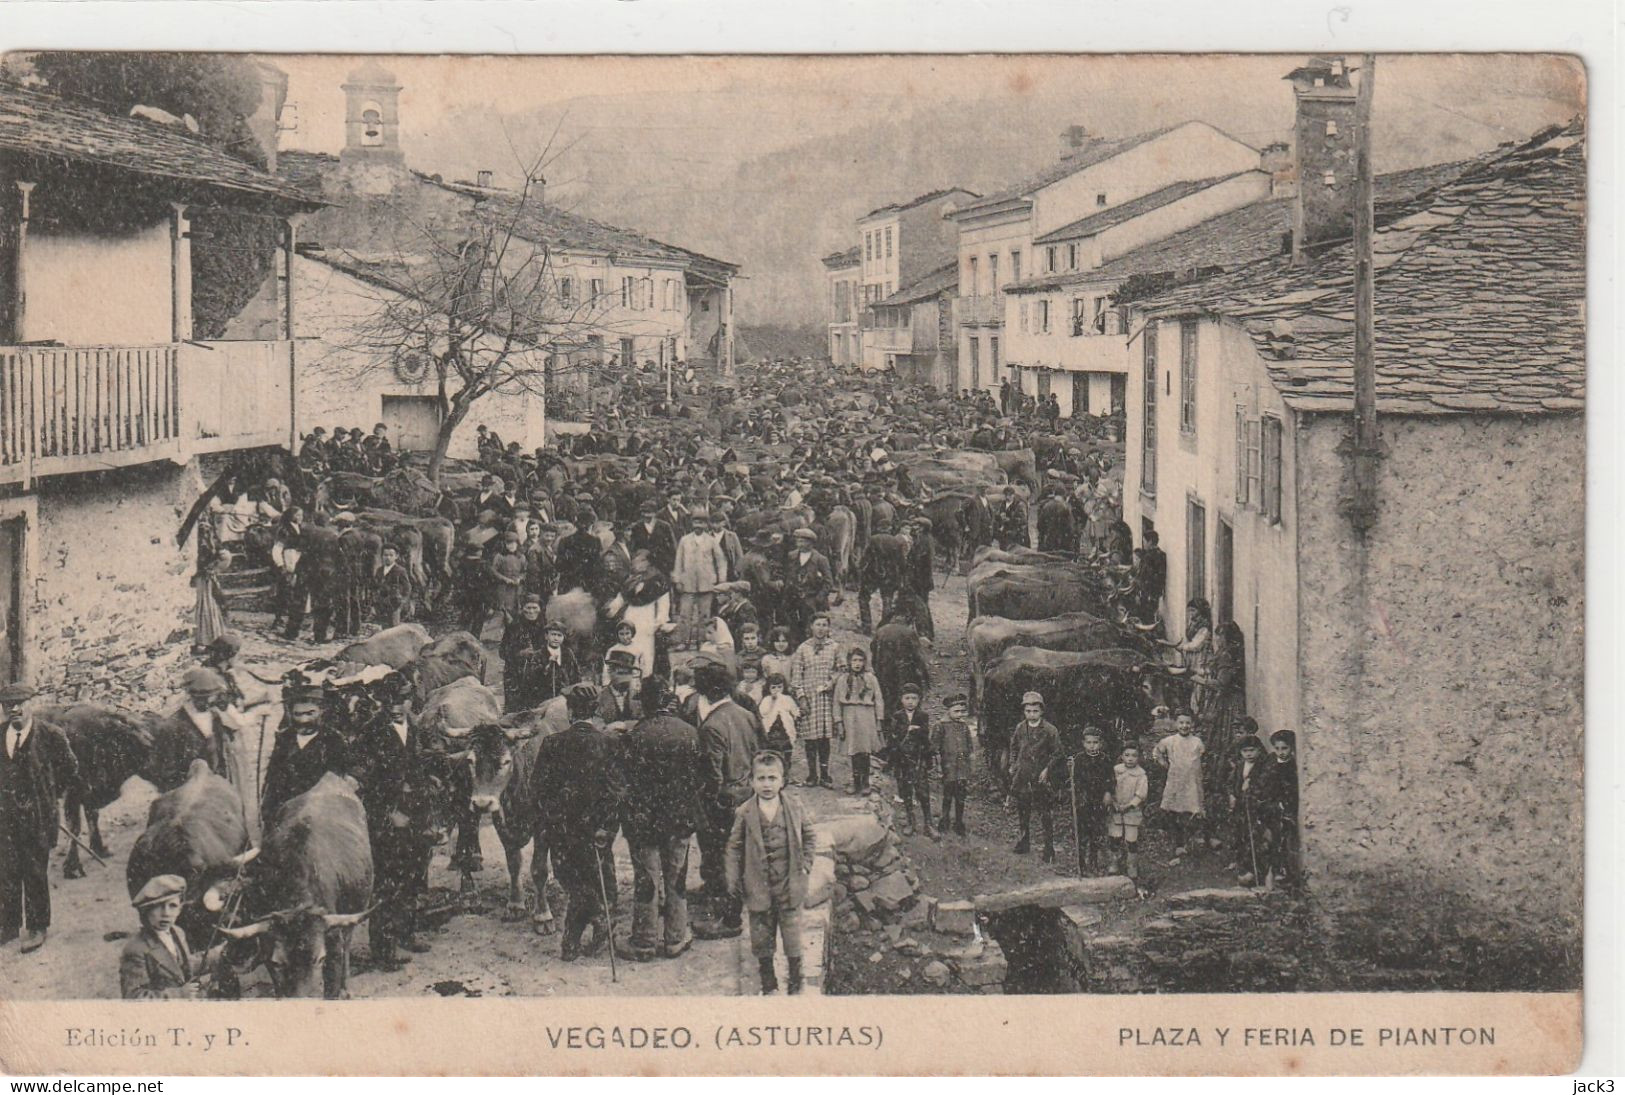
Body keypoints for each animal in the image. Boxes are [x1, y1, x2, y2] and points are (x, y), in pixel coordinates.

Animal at [34, 705, 160, 877]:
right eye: (143, 745)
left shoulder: (90, 794)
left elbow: (92, 817)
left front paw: (99, 849)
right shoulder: (74, 792)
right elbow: (75, 826)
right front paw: (72, 867)